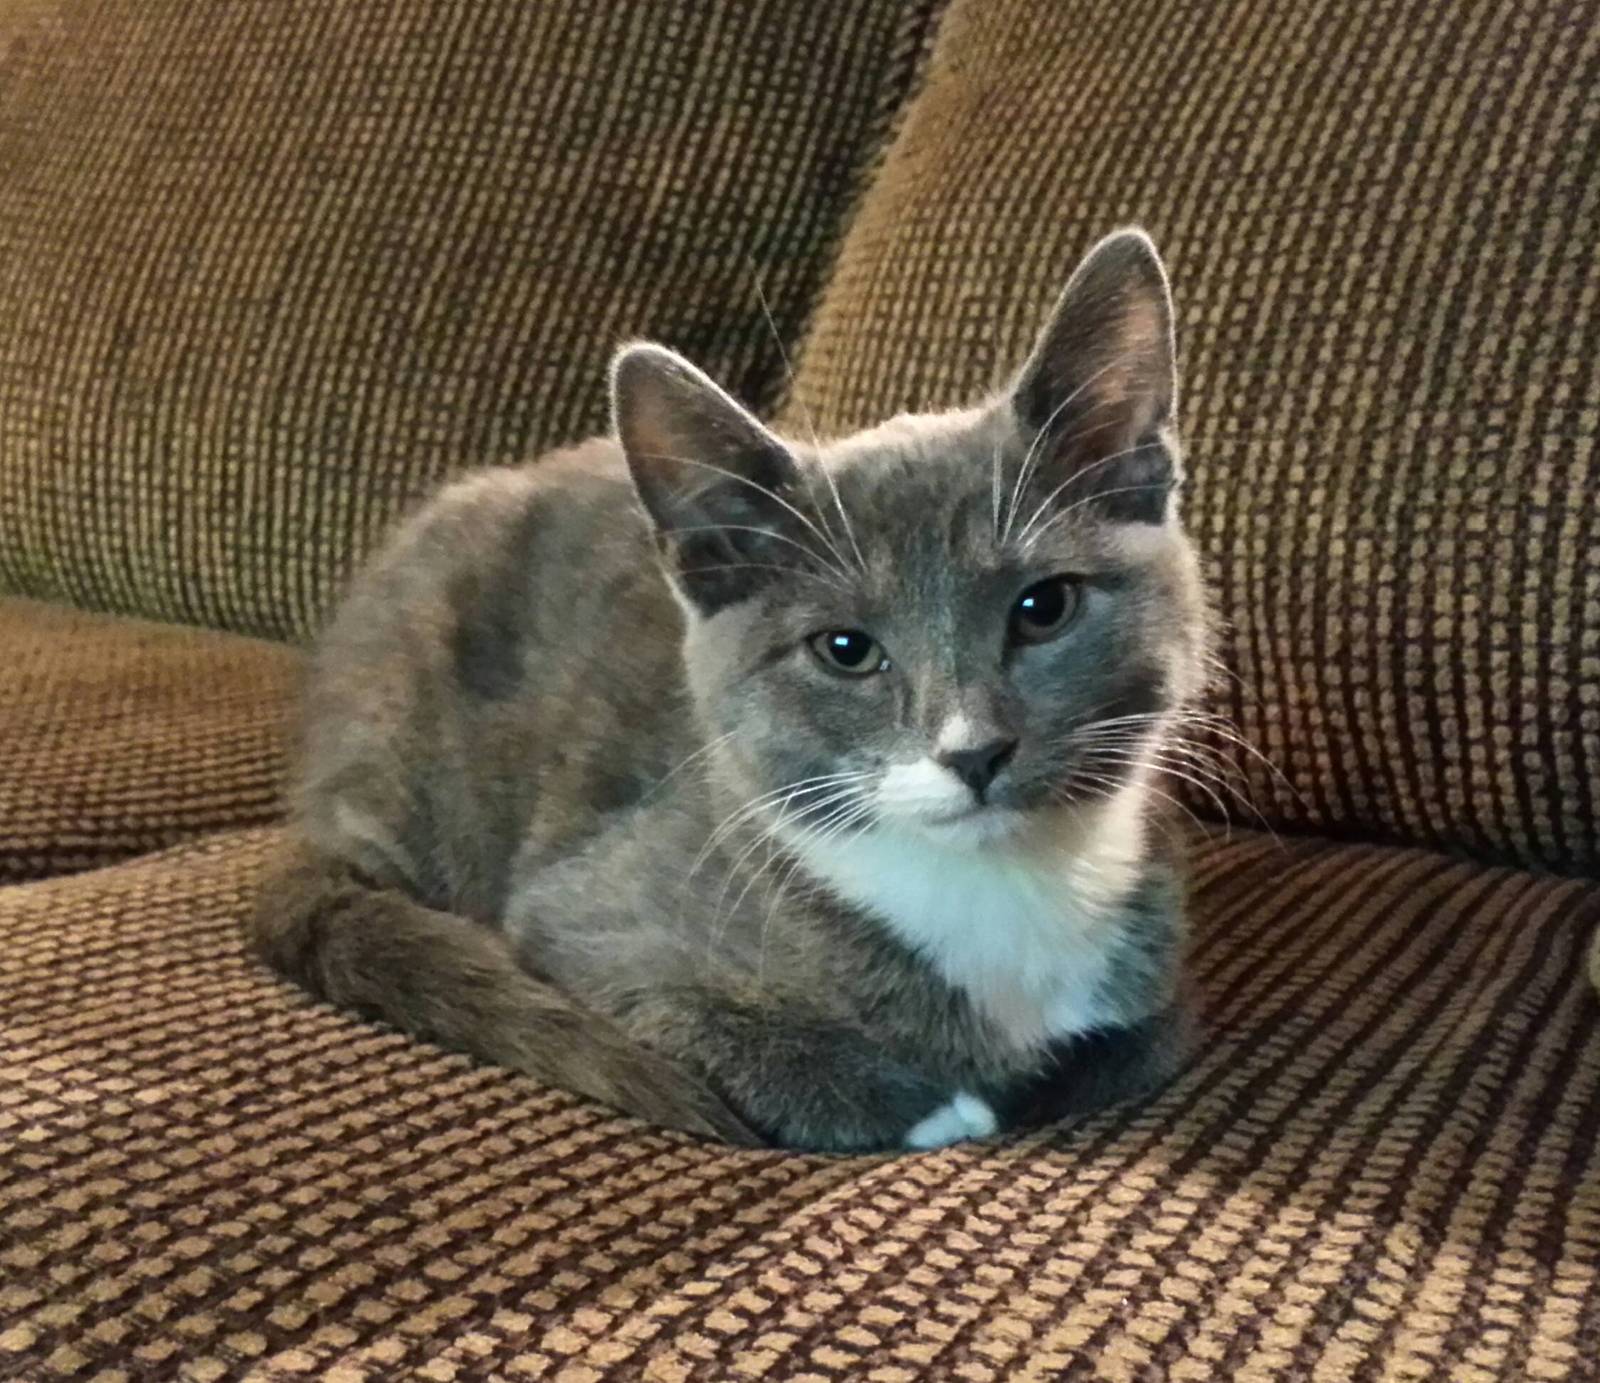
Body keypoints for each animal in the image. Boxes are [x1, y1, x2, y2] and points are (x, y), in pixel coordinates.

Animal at [249, 232, 1203, 1152]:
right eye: (846, 650)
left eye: (1044, 607)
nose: (974, 751)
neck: (997, 884)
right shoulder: (583, 914)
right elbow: (686, 1005)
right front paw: (920, 1101)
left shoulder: (1159, 955)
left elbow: (1142, 1041)